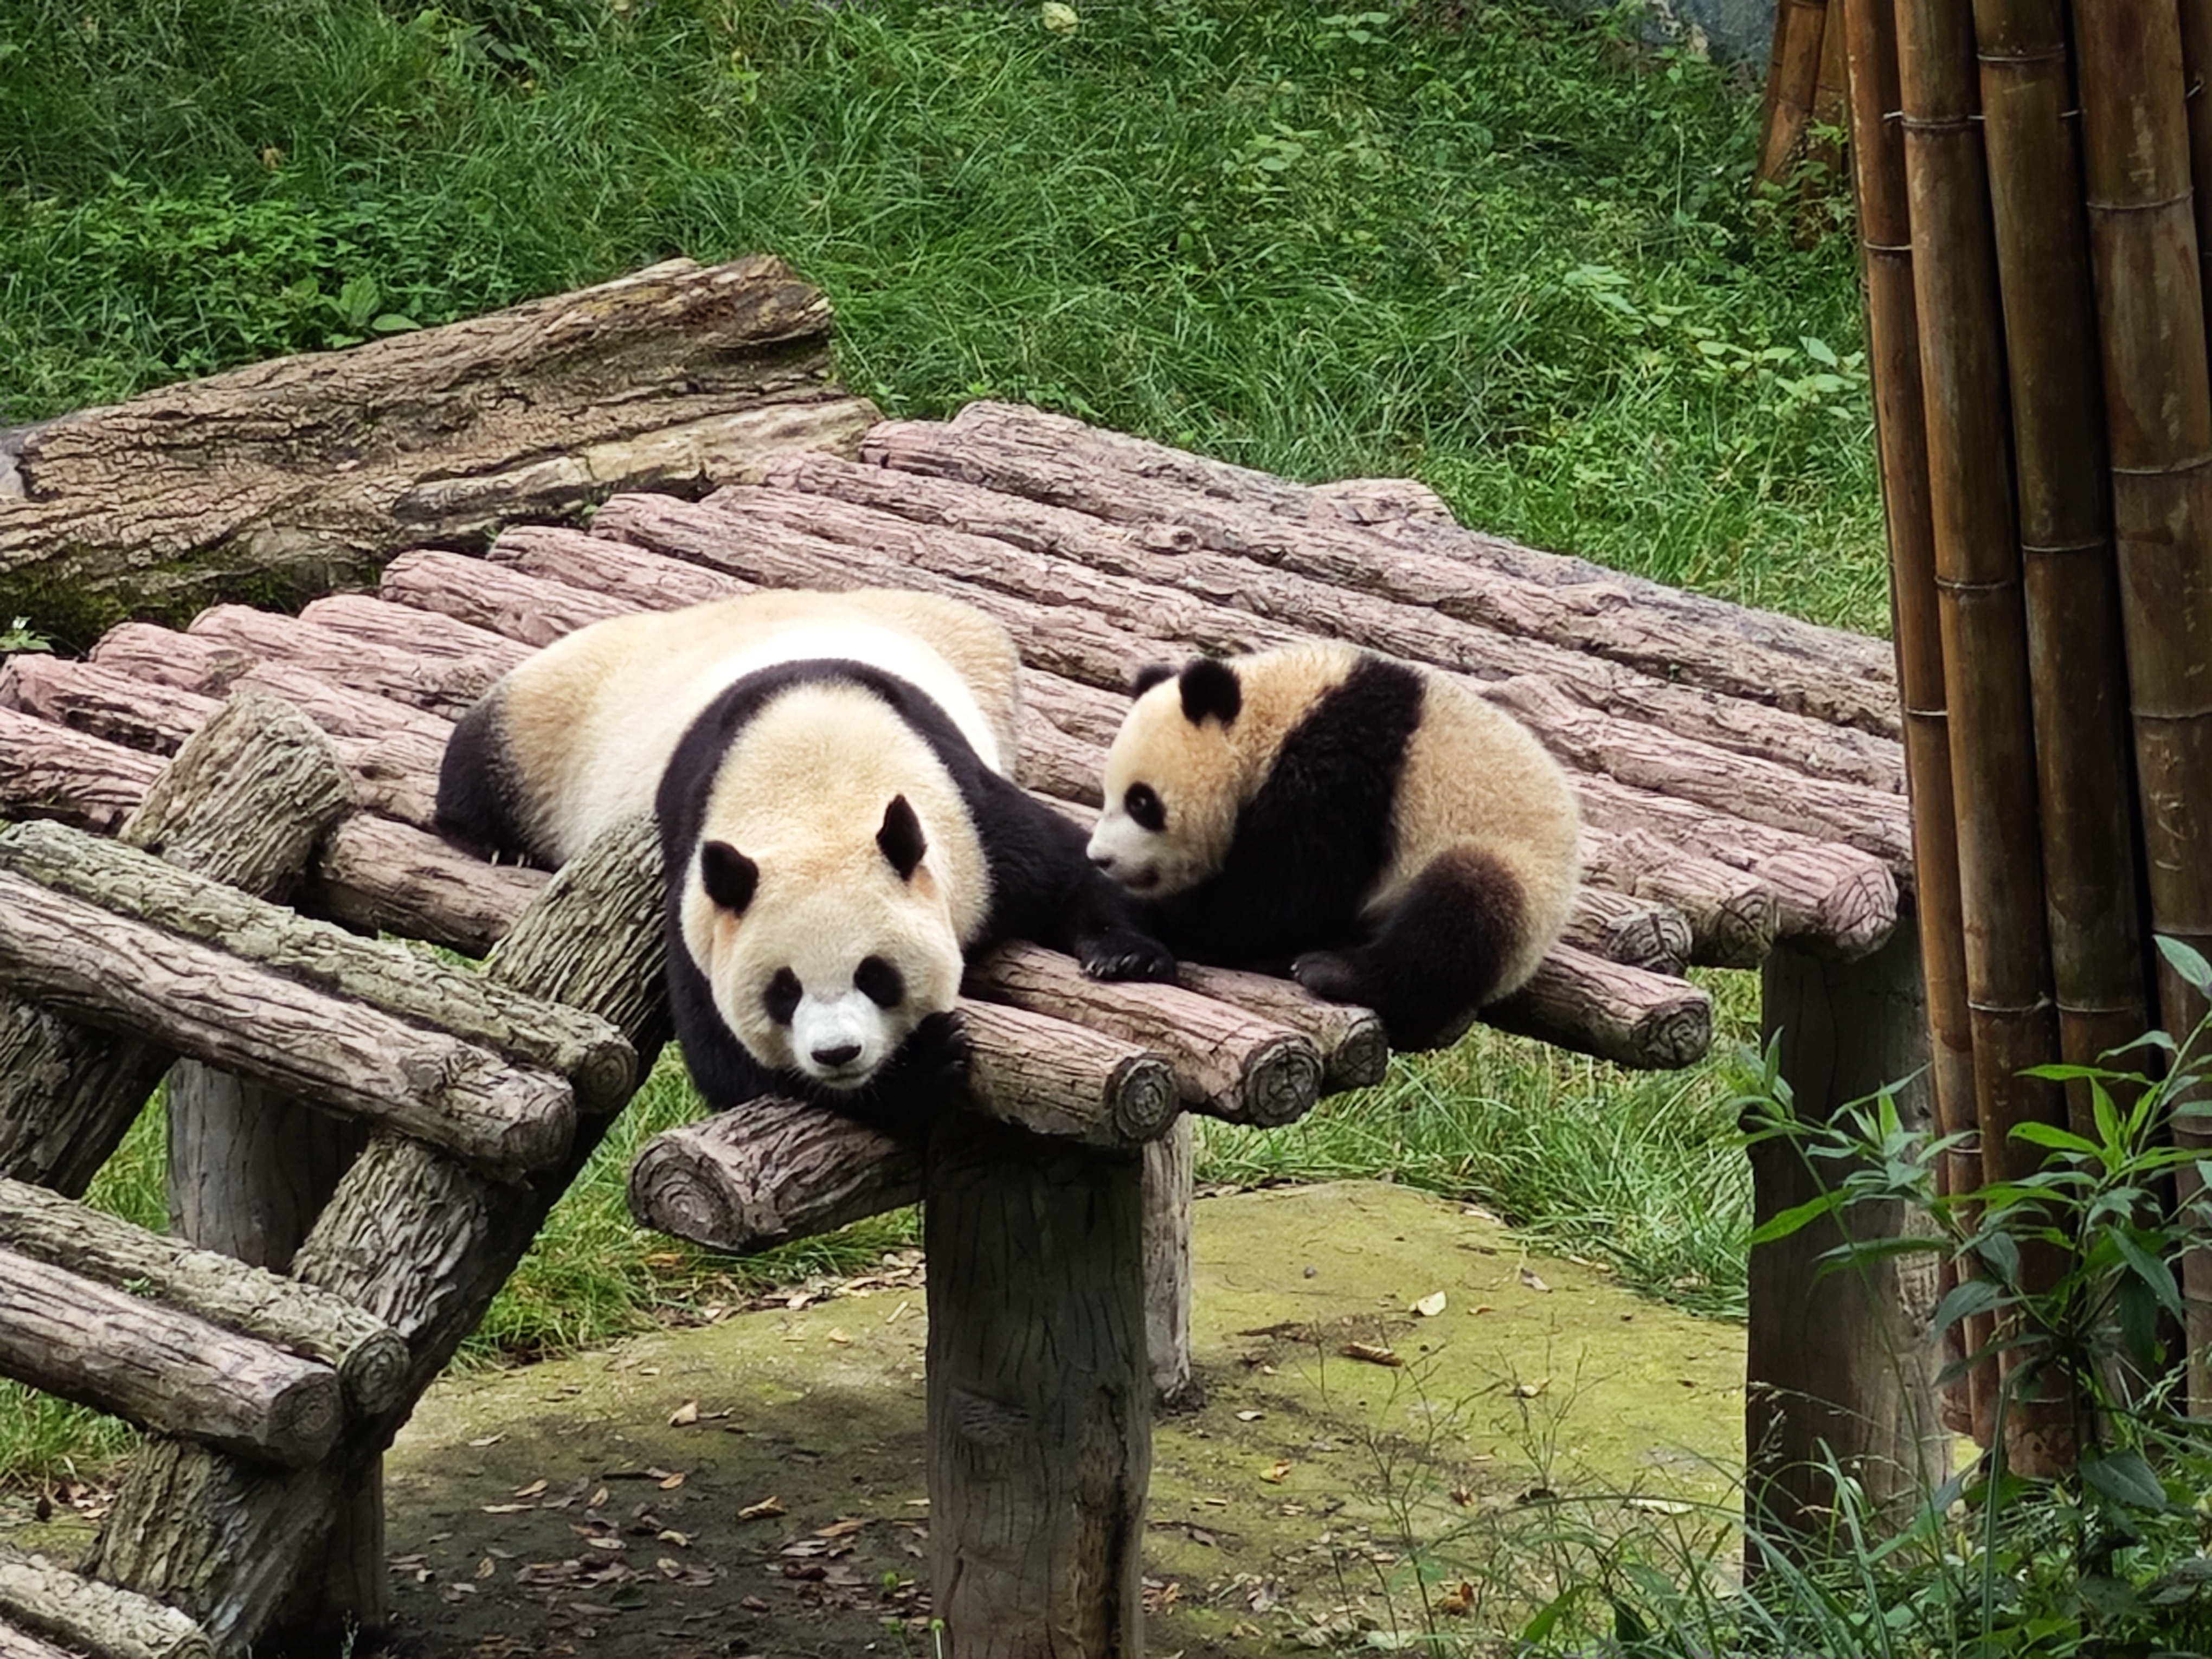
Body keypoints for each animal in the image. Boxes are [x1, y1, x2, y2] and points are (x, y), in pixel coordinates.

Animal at [437, 588, 1176, 1129]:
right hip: (555, 722)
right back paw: (496, 841)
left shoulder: (968, 818)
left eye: (877, 974)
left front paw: (1125, 955)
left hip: (978, 656)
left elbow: (1069, 866)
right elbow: (727, 1060)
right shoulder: (696, 887)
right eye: (783, 990)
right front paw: (916, 1069)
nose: (838, 1053)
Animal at [1083, 641, 1580, 1050]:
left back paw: (1336, 972)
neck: (1276, 715)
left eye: (1142, 803)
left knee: (1458, 911)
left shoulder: (1337, 774)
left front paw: (1166, 924)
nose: (1101, 858)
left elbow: (1282, 894)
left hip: (1516, 876)